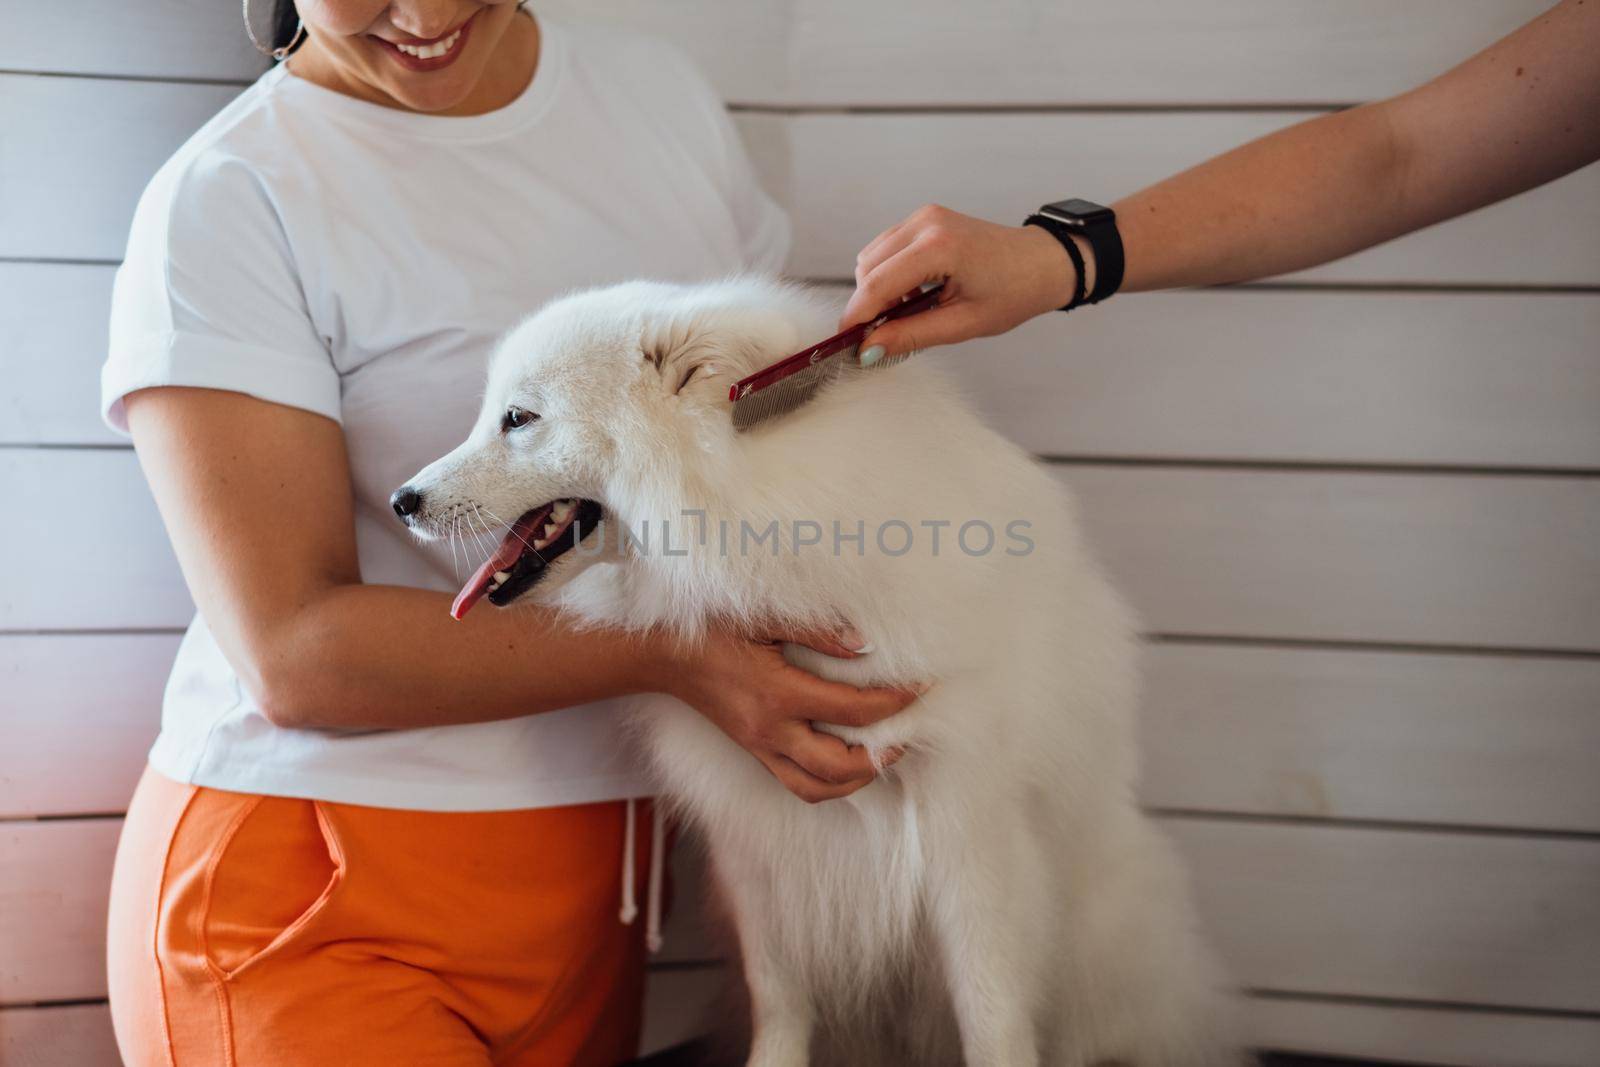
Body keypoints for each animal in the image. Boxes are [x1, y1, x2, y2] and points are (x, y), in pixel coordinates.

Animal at [393, 279, 1241, 1062]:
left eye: (518, 418)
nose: (404, 499)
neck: (765, 516)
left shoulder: (970, 823)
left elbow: (992, 1008)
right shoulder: (755, 831)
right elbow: (779, 1000)